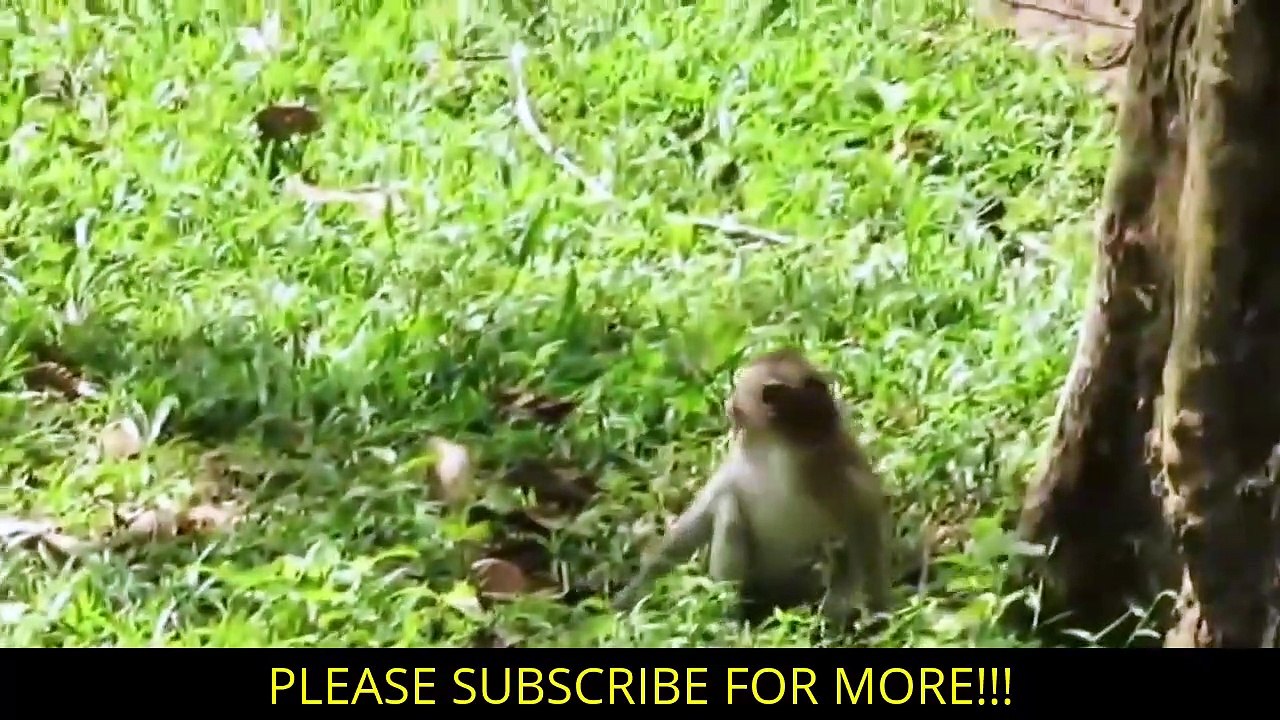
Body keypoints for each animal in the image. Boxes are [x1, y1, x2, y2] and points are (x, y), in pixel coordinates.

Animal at [611, 347, 894, 628]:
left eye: (738, 391)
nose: (727, 403)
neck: (777, 444)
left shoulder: (831, 467)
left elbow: (864, 531)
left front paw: (878, 616)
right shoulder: (739, 459)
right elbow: (692, 528)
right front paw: (625, 601)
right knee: (729, 510)